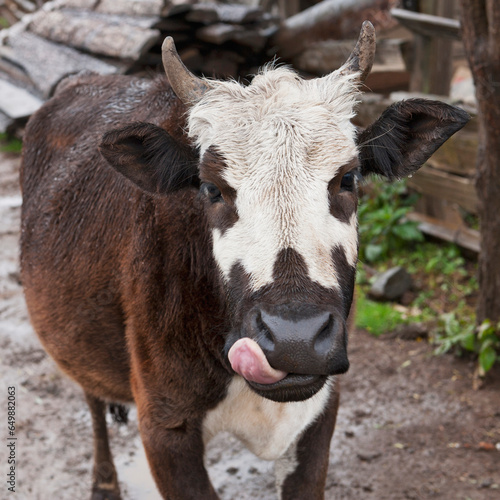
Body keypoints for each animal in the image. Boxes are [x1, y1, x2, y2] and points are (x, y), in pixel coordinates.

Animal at [20, 22, 468, 500]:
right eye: (211, 188)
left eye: (348, 177)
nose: (295, 338)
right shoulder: (164, 426)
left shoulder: (320, 411)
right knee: (91, 395)